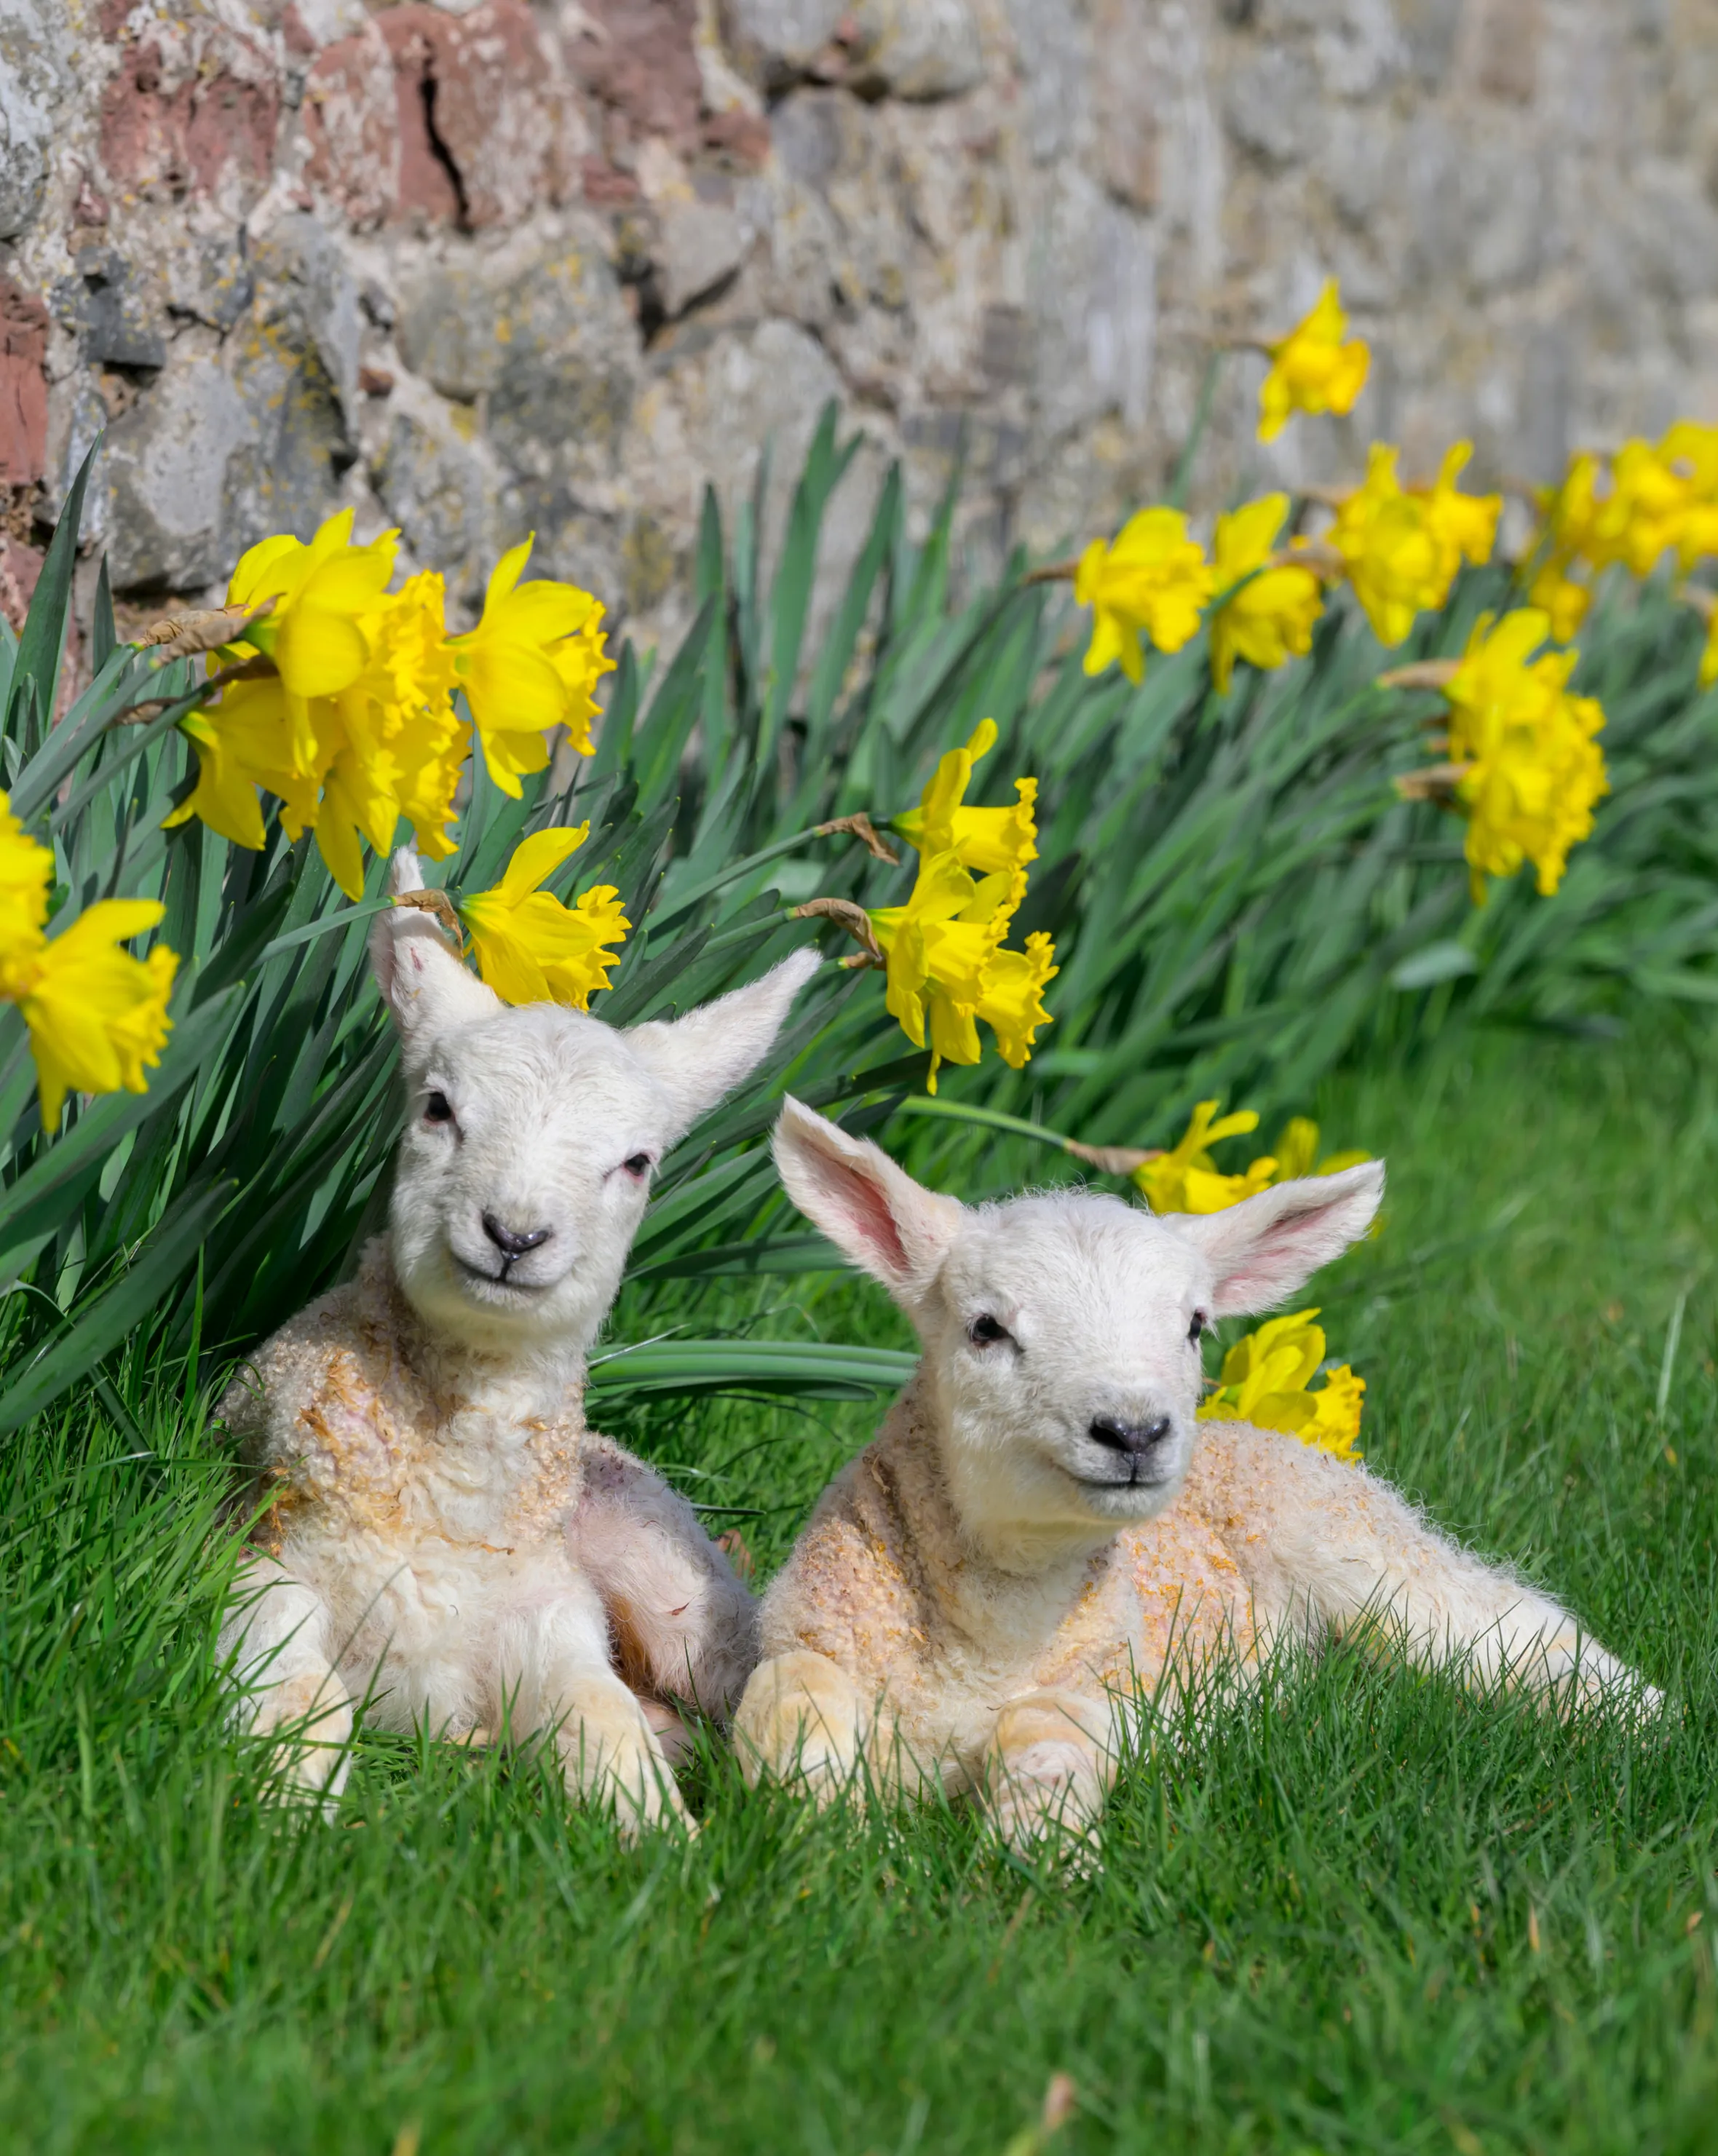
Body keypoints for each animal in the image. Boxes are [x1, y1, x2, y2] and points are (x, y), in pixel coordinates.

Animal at [217, 847, 818, 1832]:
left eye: (637, 1162)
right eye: (436, 1109)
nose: (514, 1233)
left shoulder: (553, 1615)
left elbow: (598, 1715)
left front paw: (666, 1839)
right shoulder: (257, 1558)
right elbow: (296, 1690)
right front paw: (292, 1808)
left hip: (674, 1578)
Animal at [735, 1100, 1660, 1854]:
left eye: (1193, 1325)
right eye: (985, 1328)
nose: (1133, 1431)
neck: (988, 1646)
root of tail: (1250, 1433)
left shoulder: (1103, 1684)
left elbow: (1043, 1741)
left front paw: (1043, 1854)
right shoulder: (799, 1637)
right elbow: (789, 1711)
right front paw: (832, 1838)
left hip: (1366, 1552)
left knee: (1515, 1632)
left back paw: (1650, 1724)